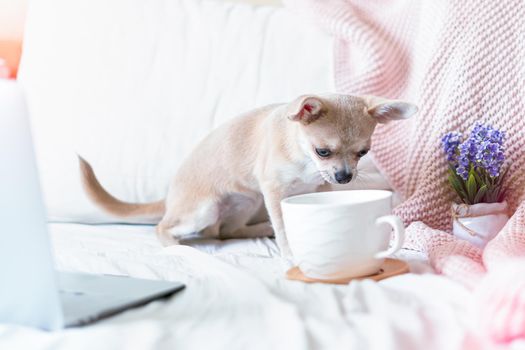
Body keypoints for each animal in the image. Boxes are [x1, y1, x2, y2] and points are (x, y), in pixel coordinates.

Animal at [80, 93, 416, 258]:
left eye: (363, 152)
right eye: (323, 151)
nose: (345, 177)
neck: (302, 155)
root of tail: (170, 196)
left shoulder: (320, 186)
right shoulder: (274, 191)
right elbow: (284, 227)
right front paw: (290, 253)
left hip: (247, 202)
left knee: (225, 232)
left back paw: (259, 229)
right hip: (204, 210)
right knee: (166, 227)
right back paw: (175, 245)